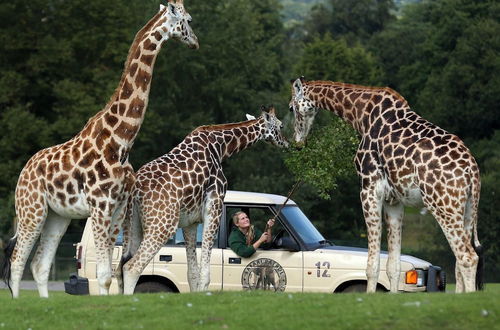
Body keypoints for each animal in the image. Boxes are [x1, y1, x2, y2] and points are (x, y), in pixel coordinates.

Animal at [2, 0, 200, 300]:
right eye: (188, 20)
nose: (196, 42)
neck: (121, 141)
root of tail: (24, 171)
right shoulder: (100, 205)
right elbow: (105, 275)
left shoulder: (118, 208)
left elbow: (110, 274)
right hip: (31, 208)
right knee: (16, 261)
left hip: (58, 216)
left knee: (39, 265)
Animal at [118, 106, 290, 294]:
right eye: (281, 125)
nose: (288, 144)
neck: (221, 148)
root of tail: (135, 190)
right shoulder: (214, 207)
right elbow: (205, 273)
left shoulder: (190, 222)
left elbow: (192, 273)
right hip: (163, 224)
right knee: (131, 267)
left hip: (132, 225)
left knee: (120, 268)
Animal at [292, 78, 482, 294]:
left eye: (292, 107)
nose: (297, 142)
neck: (361, 116)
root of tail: (471, 170)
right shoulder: (394, 200)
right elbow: (394, 265)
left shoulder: (369, 189)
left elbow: (372, 265)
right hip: (467, 209)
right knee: (460, 260)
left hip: (443, 205)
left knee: (467, 256)